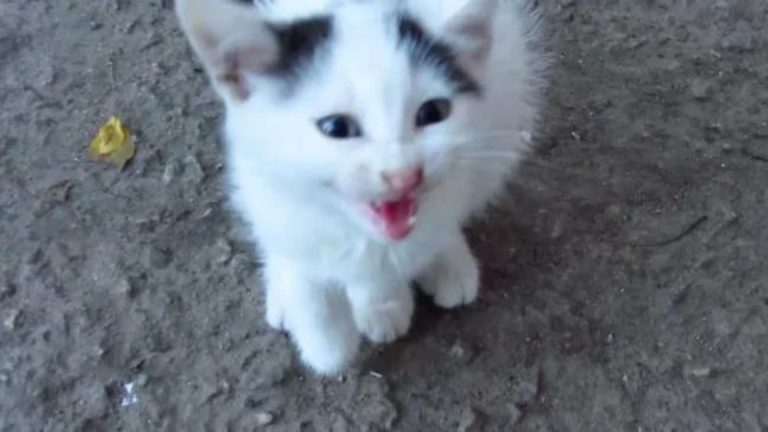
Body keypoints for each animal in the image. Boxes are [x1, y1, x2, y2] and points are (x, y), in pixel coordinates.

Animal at [174, 0, 544, 372]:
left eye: (434, 111)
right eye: (335, 127)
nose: (404, 174)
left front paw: (382, 302)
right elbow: (298, 248)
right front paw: (325, 337)